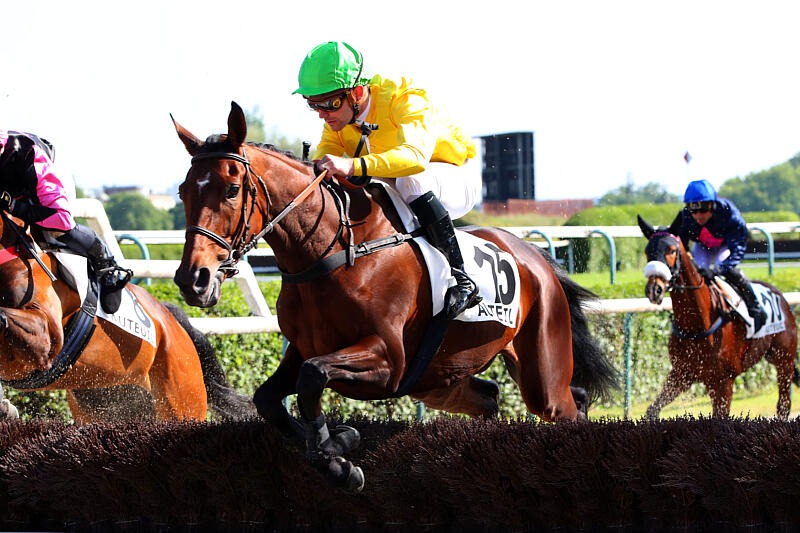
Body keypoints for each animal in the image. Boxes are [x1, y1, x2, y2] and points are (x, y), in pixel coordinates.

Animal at [172, 101, 619, 492]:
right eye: (182, 191)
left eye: (232, 189)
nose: (193, 279)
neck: (334, 252)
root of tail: (536, 257)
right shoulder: (303, 348)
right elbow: (269, 398)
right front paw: (337, 443)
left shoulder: (389, 360)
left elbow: (313, 377)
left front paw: (338, 454)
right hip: (439, 378)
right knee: (493, 397)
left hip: (541, 375)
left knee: (568, 403)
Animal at [637, 215, 799, 419]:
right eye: (647, 251)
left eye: (672, 250)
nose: (654, 289)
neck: (696, 325)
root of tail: (779, 294)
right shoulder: (682, 374)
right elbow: (652, 410)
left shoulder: (723, 381)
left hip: (784, 360)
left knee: (784, 404)